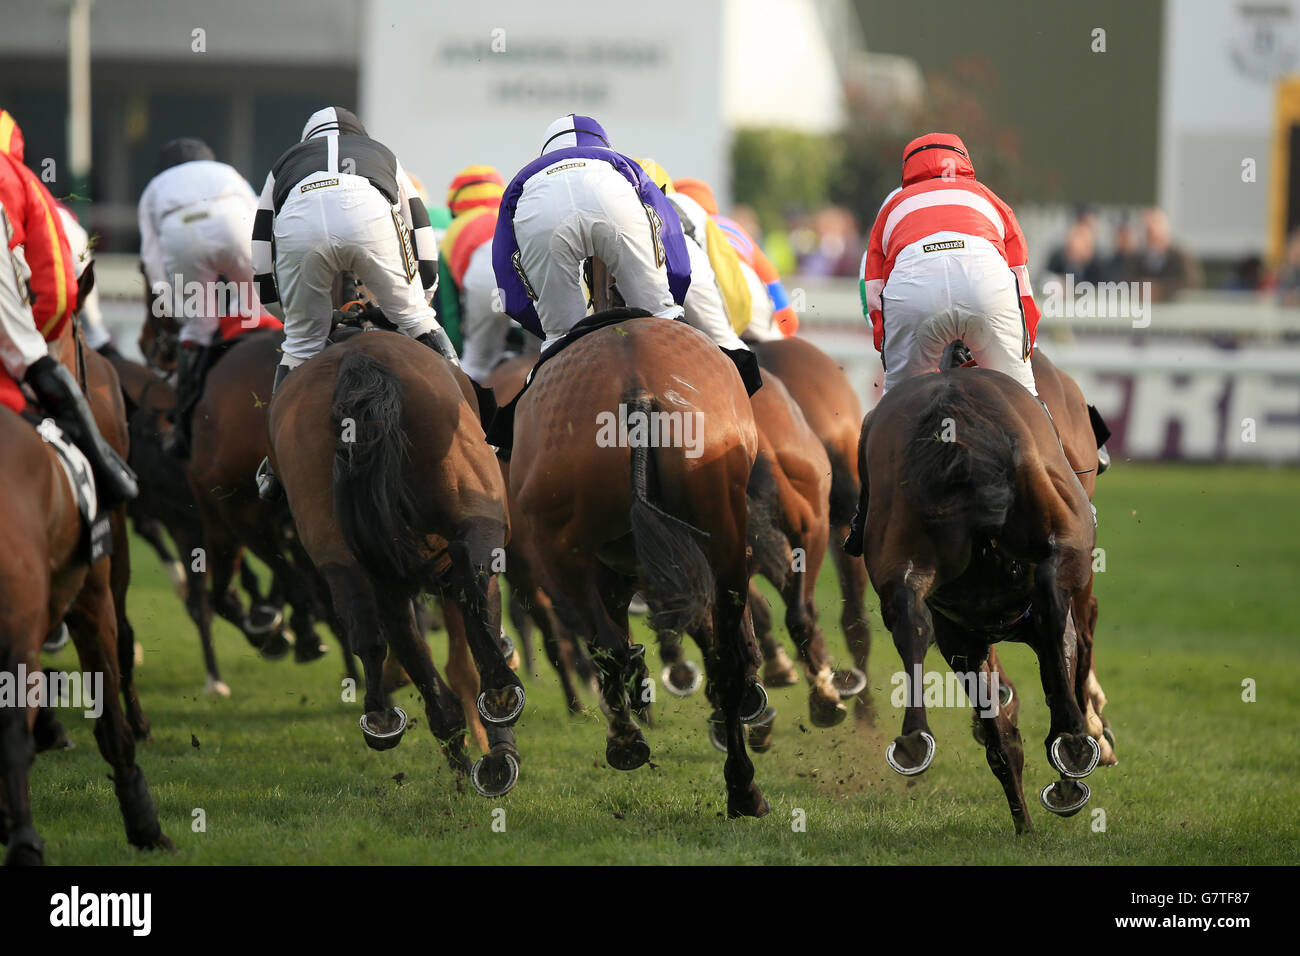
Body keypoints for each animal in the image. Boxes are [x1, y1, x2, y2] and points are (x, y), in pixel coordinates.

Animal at [269, 332, 522, 796]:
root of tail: (357, 358)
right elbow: (467, 646)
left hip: (333, 537)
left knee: (363, 618)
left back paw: (382, 717)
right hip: (478, 514)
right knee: (476, 584)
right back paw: (500, 705)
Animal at [509, 312, 769, 816]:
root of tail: (637, 393)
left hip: (560, 551)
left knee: (609, 643)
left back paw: (627, 738)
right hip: (717, 529)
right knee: (721, 657)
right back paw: (742, 783)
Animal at [852, 356, 1107, 832]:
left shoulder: (964, 637)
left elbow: (1001, 734)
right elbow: (1066, 661)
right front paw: (1068, 775)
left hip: (900, 547)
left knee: (908, 615)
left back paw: (914, 738)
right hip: (1067, 537)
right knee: (1052, 606)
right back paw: (1072, 740)